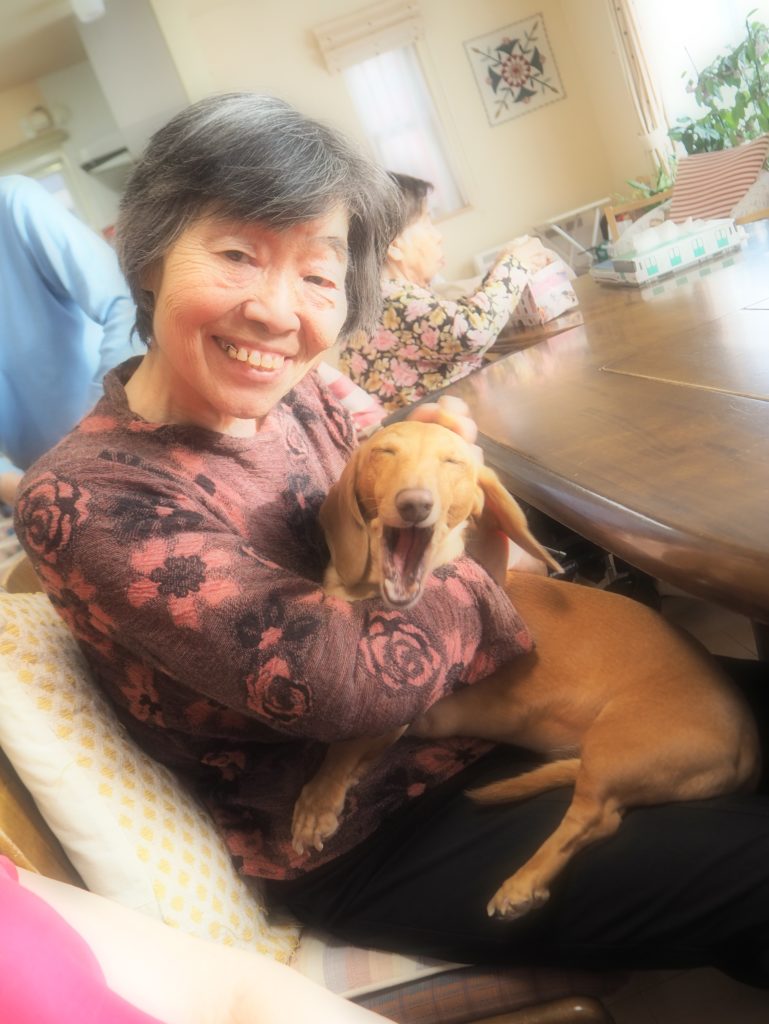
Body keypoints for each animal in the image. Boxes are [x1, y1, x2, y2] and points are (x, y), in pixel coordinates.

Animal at [292, 420, 760, 919]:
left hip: (613, 751)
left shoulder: (398, 704)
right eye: (384, 452)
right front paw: (331, 794)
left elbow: (343, 744)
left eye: (453, 461)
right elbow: (348, 746)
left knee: (596, 819)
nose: (414, 504)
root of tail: (750, 739)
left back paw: (523, 883)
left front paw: (317, 803)